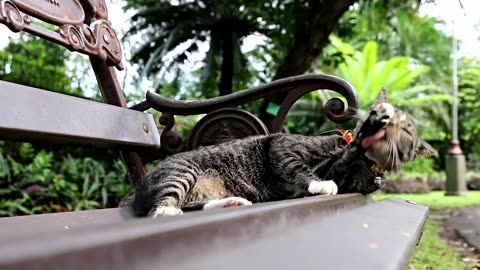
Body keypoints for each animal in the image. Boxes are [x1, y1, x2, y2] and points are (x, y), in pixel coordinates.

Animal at [123, 89, 436, 217]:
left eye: (406, 132)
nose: (385, 120)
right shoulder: (283, 146)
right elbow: (301, 166)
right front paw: (320, 183)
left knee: (191, 205)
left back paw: (231, 203)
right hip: (181, 172)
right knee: (159, 209)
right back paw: (168, 211)